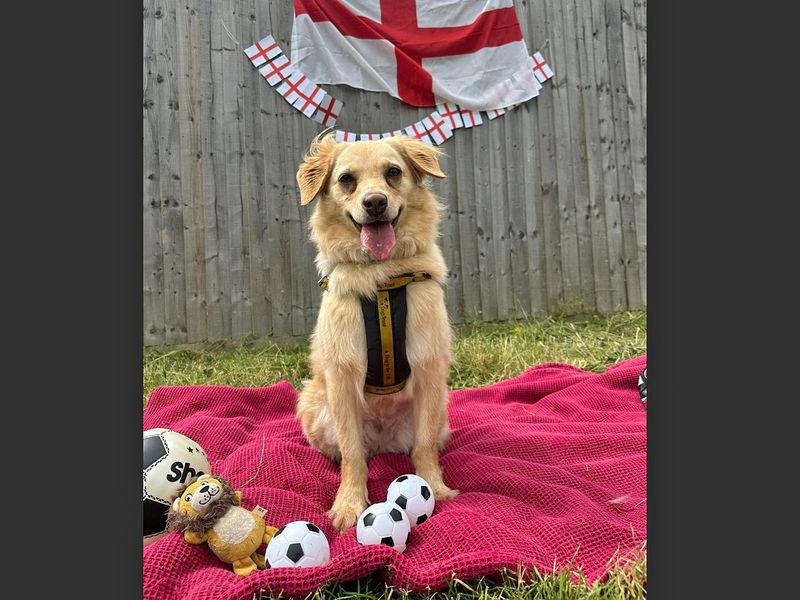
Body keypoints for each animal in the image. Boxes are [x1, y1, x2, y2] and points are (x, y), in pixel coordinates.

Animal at [296, 135, 460, 528]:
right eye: (346, 180)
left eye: (393, 172)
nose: (375, 203)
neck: (381, 278)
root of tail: (384, 440)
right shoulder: (341, 377)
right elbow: (353, 454)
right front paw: (349, 503)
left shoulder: (429, 369)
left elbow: (424, 445)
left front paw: (434, 486)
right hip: (313, 403)